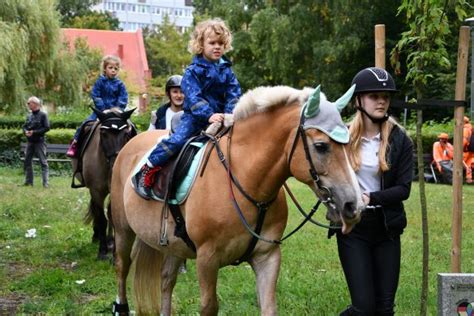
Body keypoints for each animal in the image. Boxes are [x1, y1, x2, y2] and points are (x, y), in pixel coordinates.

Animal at [71, 107, 135, 260]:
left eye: (126, 134)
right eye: (104, 134)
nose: (116, 164)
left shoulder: (115, 190)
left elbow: (111, 216)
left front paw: (114, 251)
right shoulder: (95, 190)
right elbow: (101, 218)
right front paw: (102, 251)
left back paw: (110, 240)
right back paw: (97, 236)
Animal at [111, 85, 362, 314]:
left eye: (348, 143)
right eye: (321, 146)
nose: (354, 205)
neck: (245, 180)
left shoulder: (267, 257)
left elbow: (269, 307)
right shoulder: (207, 260)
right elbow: (209, 306)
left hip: (174, 246)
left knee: (166, 281)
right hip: (123, 231)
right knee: (122, 268)